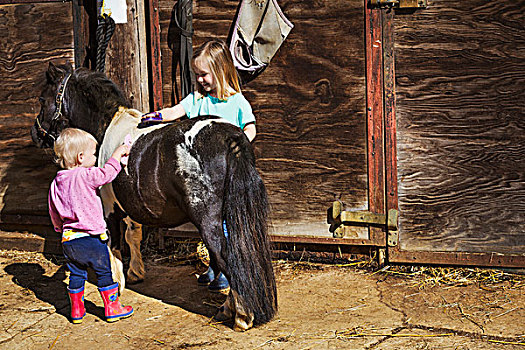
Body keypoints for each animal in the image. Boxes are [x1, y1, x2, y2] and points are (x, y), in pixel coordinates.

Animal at [31, 63, 278, 330]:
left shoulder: (108, 208)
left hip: (208, 221)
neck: (108, 126)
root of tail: (230, 138)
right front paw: (136, 272)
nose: (35, 133)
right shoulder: (129, 205)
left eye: (42, 99)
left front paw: (118, 285)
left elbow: (113, 245)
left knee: (226, 255)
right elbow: (133, 235)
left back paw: (242, 315)